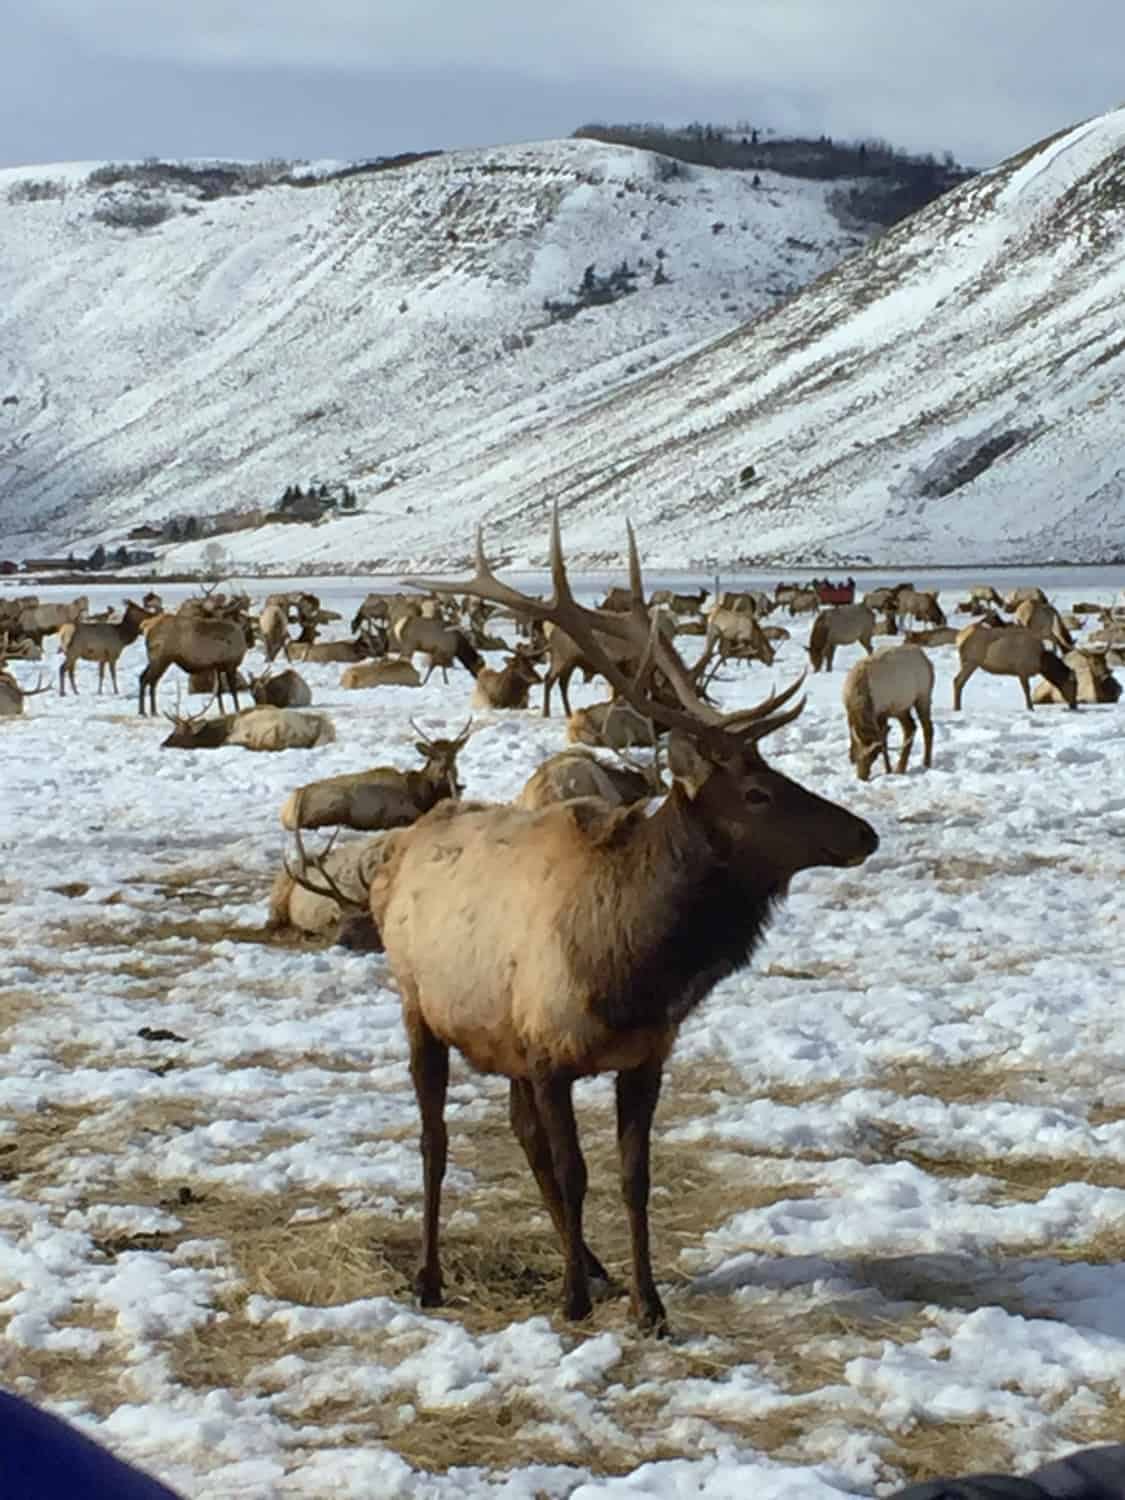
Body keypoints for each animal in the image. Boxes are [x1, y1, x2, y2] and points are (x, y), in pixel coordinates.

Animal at [364, 514, 878, 1335]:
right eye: (757, 794)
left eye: (778, 774)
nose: (863, 833)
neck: (634, 969)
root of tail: (401, 847)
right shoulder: (548, 1053)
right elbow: (574, 1171)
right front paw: (572, 1299)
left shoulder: (641, 1056)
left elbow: (634, 1177)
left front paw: (647, 1302)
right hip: (420, 1005)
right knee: (434, 1139)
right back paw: (431, 1276)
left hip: (499, 1031)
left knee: (520, 1136)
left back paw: (595, 1268)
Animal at [842, 644, 935, 781]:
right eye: (858, 755)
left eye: (874, 757)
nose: (862, 777)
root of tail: (927, 660)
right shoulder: (850, 713)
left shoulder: (882, 712)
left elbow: (884, 742)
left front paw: (888, 770)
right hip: (901, 707)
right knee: (910, 727)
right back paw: (901, 768)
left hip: (923, 696)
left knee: (927, 727)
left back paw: (925, 763)